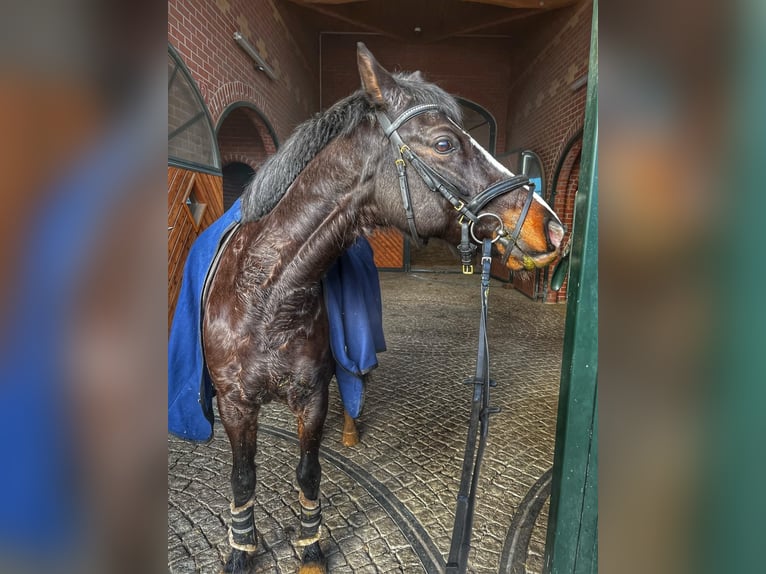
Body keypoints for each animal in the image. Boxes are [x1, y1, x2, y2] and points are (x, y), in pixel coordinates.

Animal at [202, 42, 564, 572]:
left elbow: (309, 470)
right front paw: (240, 548)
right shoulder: (234, 403)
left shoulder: (312, 395)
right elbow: (243, 477)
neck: (266, 298)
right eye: (444, 143)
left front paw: (310, 547)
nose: (553, 228)